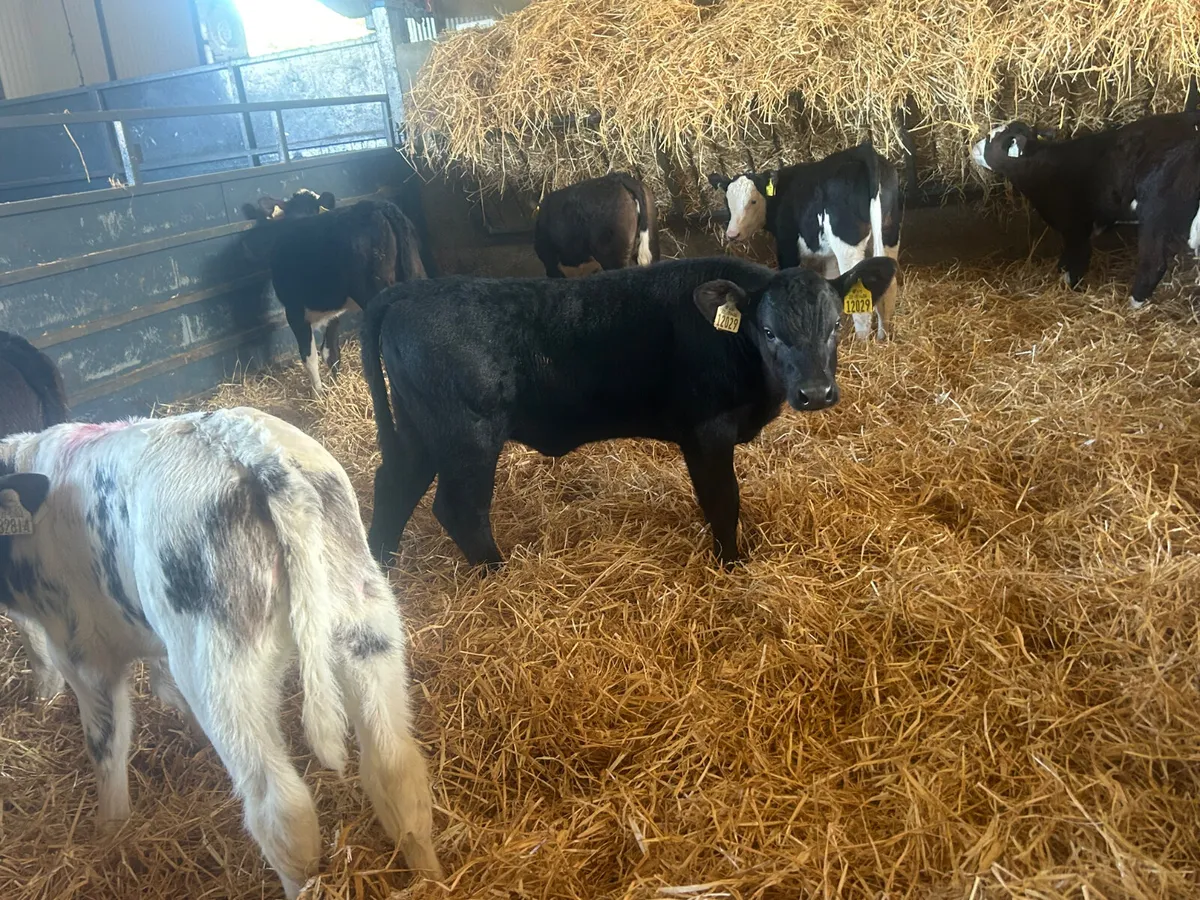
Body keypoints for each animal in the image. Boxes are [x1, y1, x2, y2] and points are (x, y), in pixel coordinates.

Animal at [0, 408, 442, 898]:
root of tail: (254, 451)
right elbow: (165, 688)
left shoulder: (83, 652)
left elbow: (106, 746)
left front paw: (109, 832)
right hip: (365, 621)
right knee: (396, 771)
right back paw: (432, 879)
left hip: (223, 669)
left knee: (283, 812)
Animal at [242, 192, 428, 395]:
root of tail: (380, 206)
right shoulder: (333, 314)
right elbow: (331, 352)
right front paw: (334, 384)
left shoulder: (293, 311)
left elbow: (309, 356)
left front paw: (318, 394)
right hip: (417, 276)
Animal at [360, 255, 898, 569]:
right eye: (768, 331)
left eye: (835, 325)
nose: (815, 392)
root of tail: (411, 291)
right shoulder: (707, 432)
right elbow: (723, 502)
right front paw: (732, 564)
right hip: (467, 436)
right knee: (459, 508)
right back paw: (499, 572)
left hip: (419, 431)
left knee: (394, 487)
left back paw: (381, 570)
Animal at [708, 141, 903, 341]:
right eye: (727, 201)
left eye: (753, 201)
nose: (732, 233)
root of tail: (864, 150)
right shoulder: (830, 256)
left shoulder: (787, 247)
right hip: (889, 232)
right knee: (889, 288)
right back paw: (883, 337)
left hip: (848, 246)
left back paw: (862, 343)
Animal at [970, 111, 1200, 308]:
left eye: (991, 138)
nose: (973, 148)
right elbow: (1065, 261)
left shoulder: (1076, 228)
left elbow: (1076, 261)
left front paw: (1072, 288)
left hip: (1154, 214)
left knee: (1154, 264)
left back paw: (1132, 305)